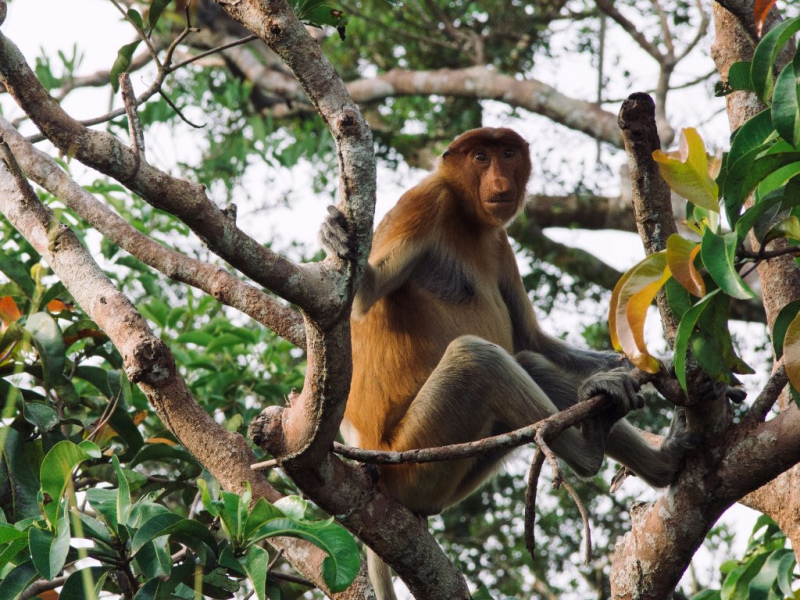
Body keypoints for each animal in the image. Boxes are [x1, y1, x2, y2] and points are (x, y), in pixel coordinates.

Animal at [320, 127, 697, 600]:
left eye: (508, 154)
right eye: (480, 157)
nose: (500, 182)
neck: (467, 217)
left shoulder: (499, 242)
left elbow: (530, 338)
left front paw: (648, 367)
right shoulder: (424, 202)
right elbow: (365, 294)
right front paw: (337, 238)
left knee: (527, 361)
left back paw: (658, 454)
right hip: (412, 460)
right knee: (478, 358)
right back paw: (591, 449)